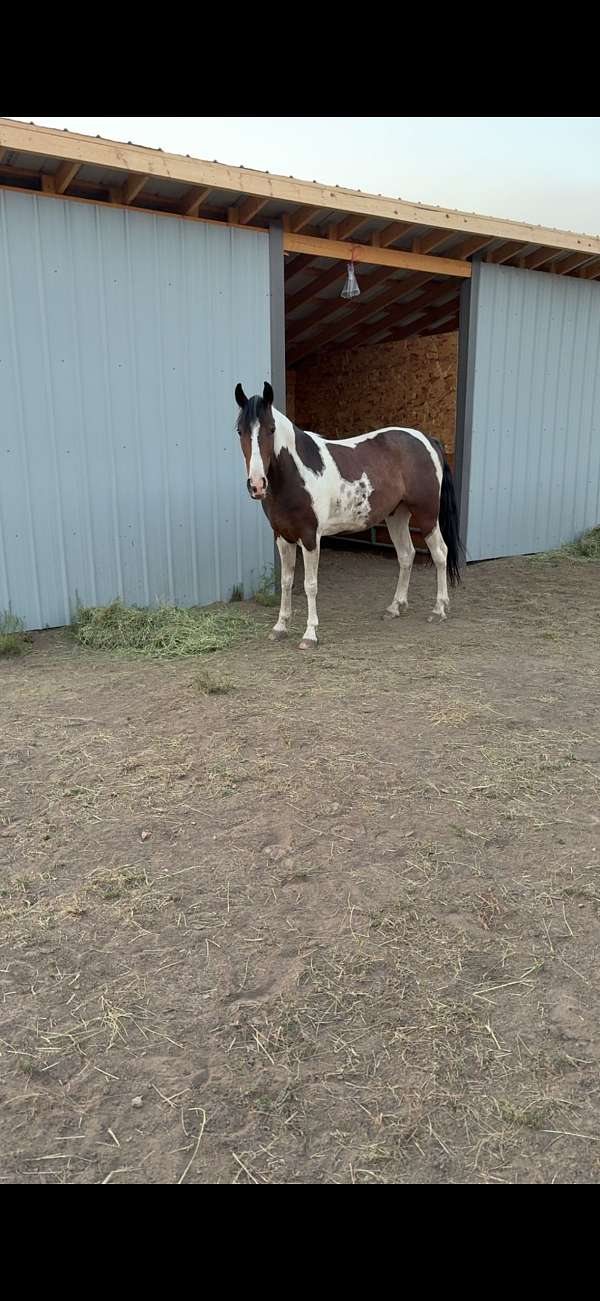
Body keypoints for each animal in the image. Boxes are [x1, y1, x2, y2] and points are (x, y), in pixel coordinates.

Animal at [235, 381, 463, 650]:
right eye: (239, 431)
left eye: (271, 429)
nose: (257, 485)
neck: (296, 473)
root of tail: (428, 440)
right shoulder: (282, 537)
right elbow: (286, 582)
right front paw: (280, 627)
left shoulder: (310, 538)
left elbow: (310, 585)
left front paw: (310, 635)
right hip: (397, 515)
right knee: (406, 555)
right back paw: (395, 607)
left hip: (427, 516)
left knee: (440, 554)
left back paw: (438, 610)